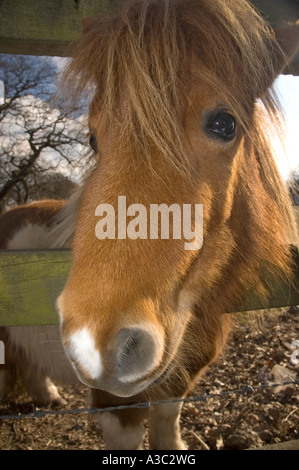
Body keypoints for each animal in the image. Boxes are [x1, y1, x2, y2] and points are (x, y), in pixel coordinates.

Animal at [0, 0, 299, 450]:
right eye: (93, 138)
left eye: (225, 124)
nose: (96, 345)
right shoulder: (116, 407)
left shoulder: (177, 382)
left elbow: (167, 422)